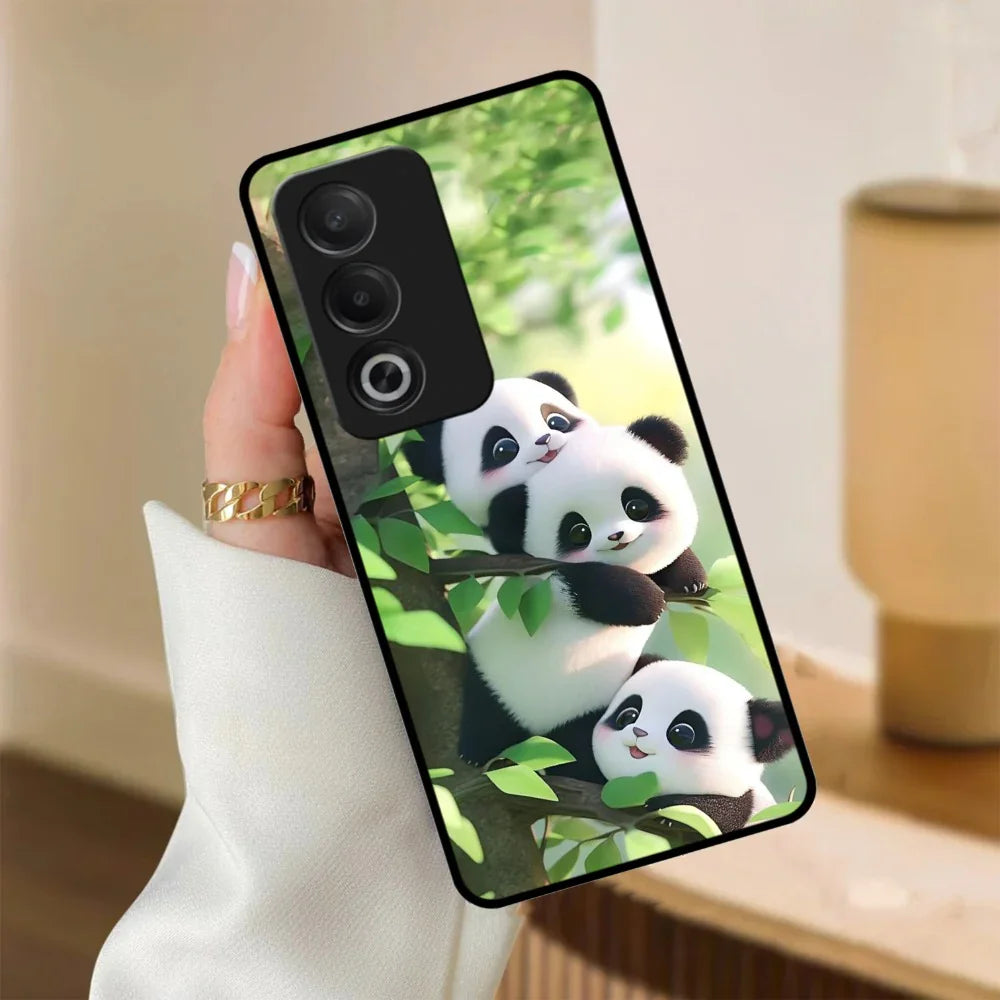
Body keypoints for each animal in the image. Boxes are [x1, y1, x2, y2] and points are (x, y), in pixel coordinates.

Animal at [459, 418, 706, 777]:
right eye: (578, 531)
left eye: (636, 505)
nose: (616, 536)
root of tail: (538, 733)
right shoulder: (540, 577)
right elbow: (583, 585)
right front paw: (648, 601)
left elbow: (670, 563)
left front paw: (691, 579)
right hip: (493, 678)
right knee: (485, 712)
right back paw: (476, 752)